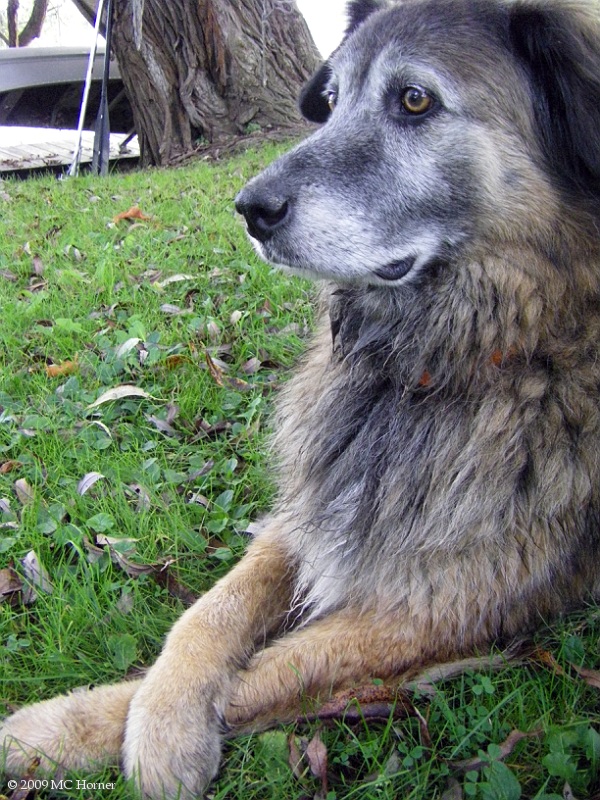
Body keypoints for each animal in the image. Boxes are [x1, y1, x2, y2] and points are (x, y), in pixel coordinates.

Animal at [3, 0, 600, 796]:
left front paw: (107, 731)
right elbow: (206, 615)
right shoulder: (314, 508)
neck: (438, 358)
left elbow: (272, 671)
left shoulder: (444, 608)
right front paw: (140, 715)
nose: (249, 209)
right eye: (333, 99)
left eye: (415, 99)